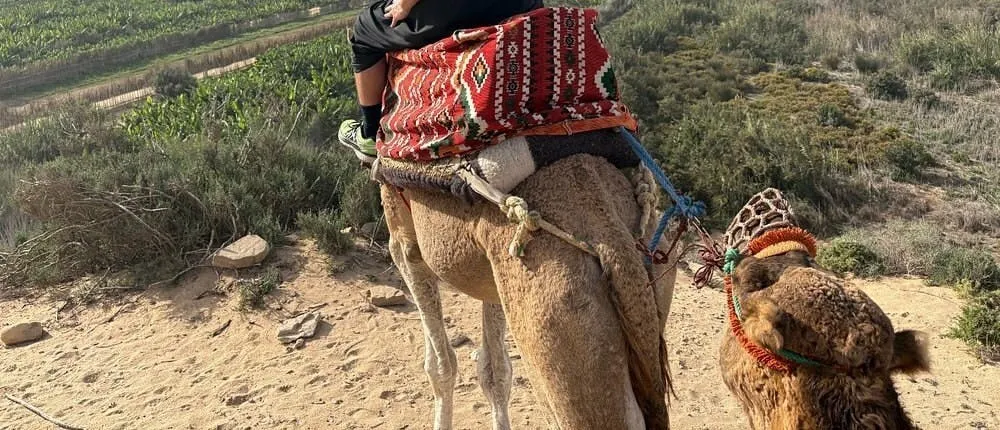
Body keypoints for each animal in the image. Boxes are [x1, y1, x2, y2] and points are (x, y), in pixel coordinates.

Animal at [380, 151, 680, 429]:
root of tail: (609, 231)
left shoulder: (403, 236)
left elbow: (441, 367)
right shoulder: (493, 276)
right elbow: (495, 370)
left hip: (557, 319)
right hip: (653, 280)